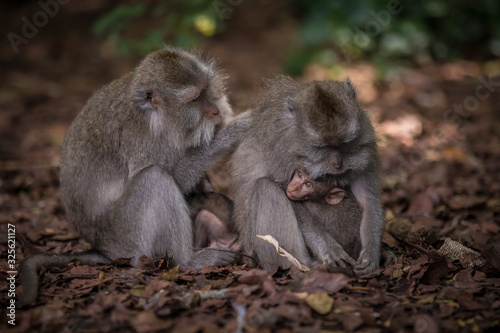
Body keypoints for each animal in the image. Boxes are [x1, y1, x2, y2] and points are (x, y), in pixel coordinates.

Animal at [21, 46, 248, 304]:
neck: (157, 117)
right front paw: (235, 129)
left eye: (206, 89)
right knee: (155, 177)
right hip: (129, 238)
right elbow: (177, 179)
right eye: (195, 98)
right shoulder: (144, 143)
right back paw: (188, 261)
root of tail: (105, 249)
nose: (215, 110)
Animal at [229, 76, 384, 274]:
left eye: (343, 144)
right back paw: (307, 265)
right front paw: (329, 249)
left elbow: (367, 200)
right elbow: (288, 195)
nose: (337, 164)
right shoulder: (279, 149)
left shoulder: (365, 147)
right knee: (266, 188)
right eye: (322, 147)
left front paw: (371, 254)